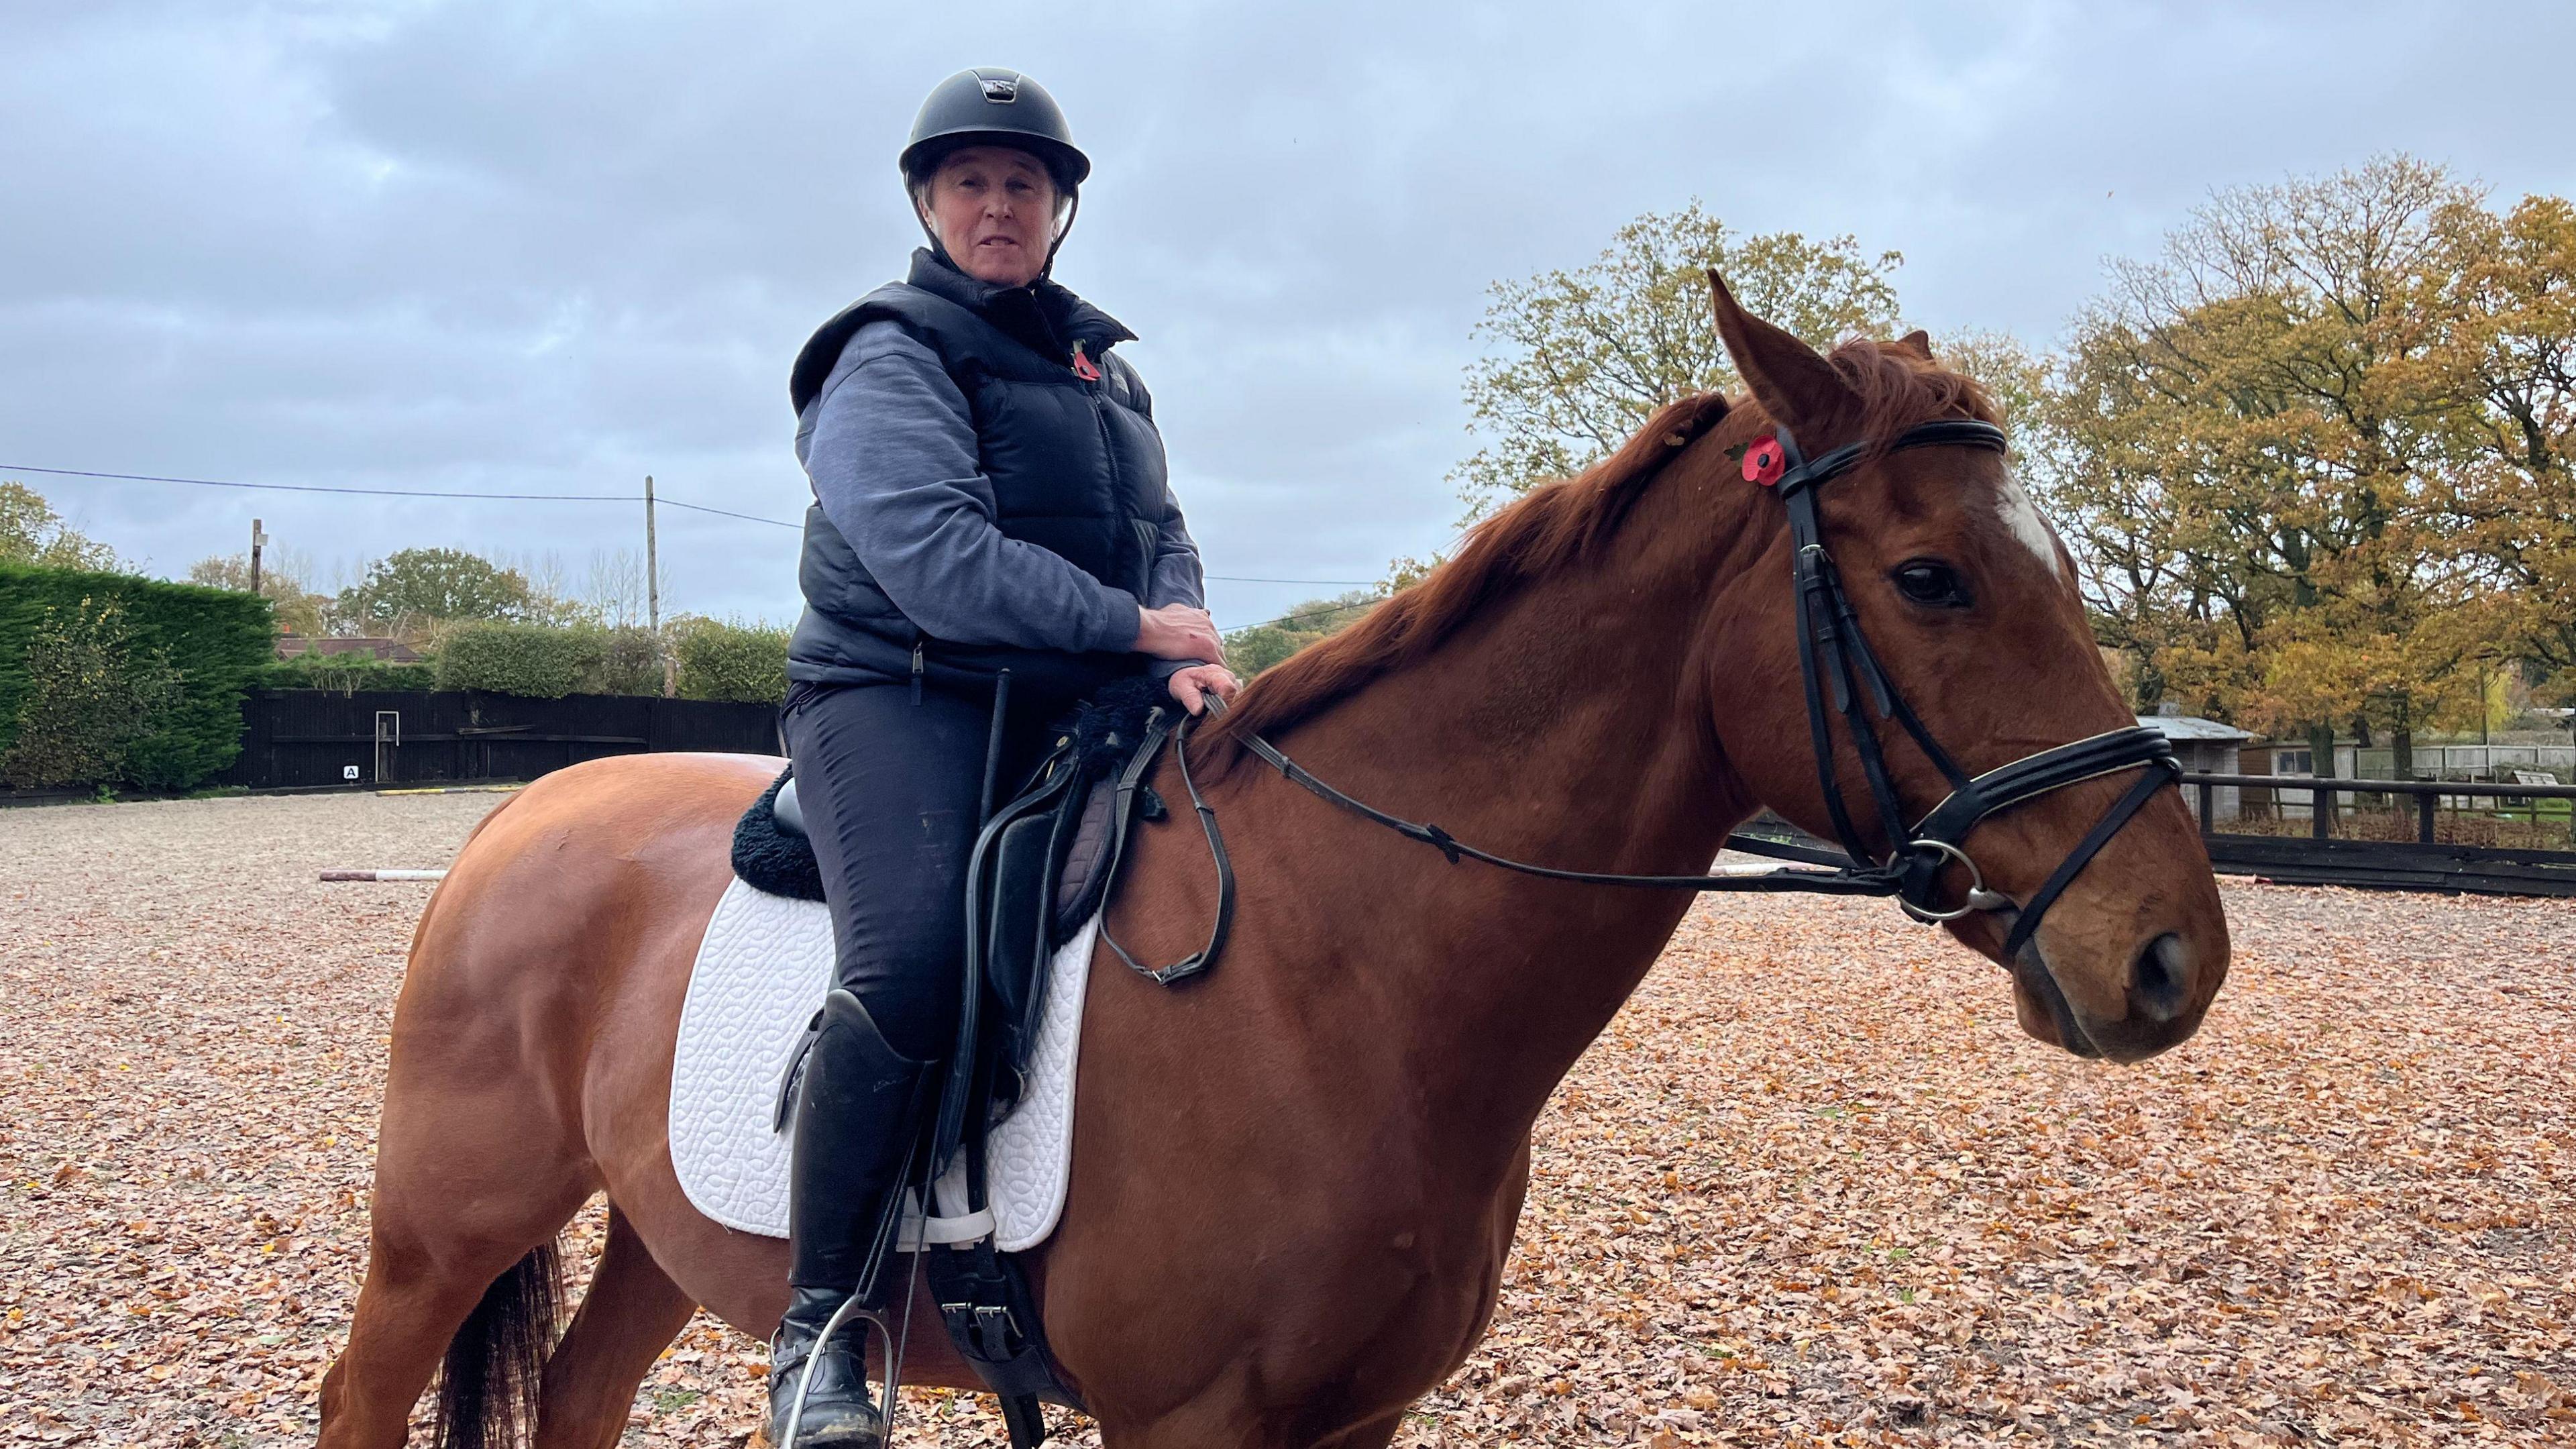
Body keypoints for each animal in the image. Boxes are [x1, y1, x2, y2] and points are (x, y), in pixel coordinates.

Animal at [316, 279, 2229, 1449]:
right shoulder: (1190, 1420)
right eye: (1929, 579)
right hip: (441, 1224)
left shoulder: (1355, 1413)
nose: (2171, 958)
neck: (1339, 975)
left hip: (660, 1230)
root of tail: (522, 814)